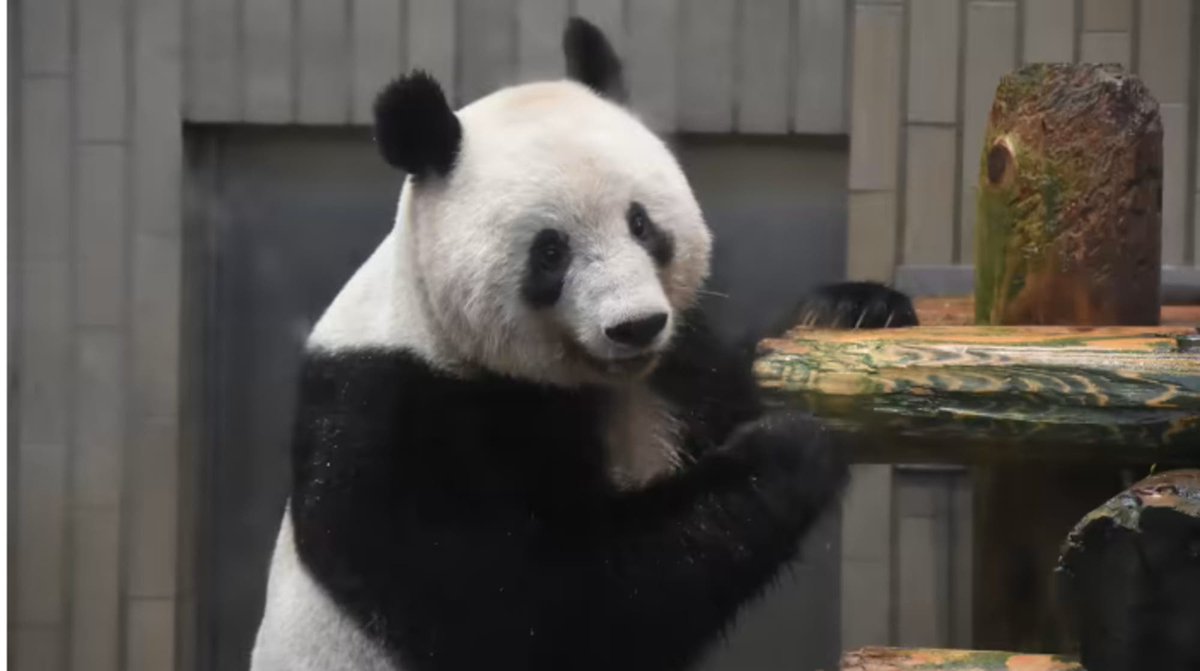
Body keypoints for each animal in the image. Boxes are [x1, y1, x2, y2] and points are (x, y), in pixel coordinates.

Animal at [251, 17, 916, 671]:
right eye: (550, 251)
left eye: (641, 223)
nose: (635, 326)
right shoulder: (399, 424)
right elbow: (536, 609)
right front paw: (789, 446)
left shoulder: (676, 366)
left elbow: (729, 390)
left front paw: (852, 309)